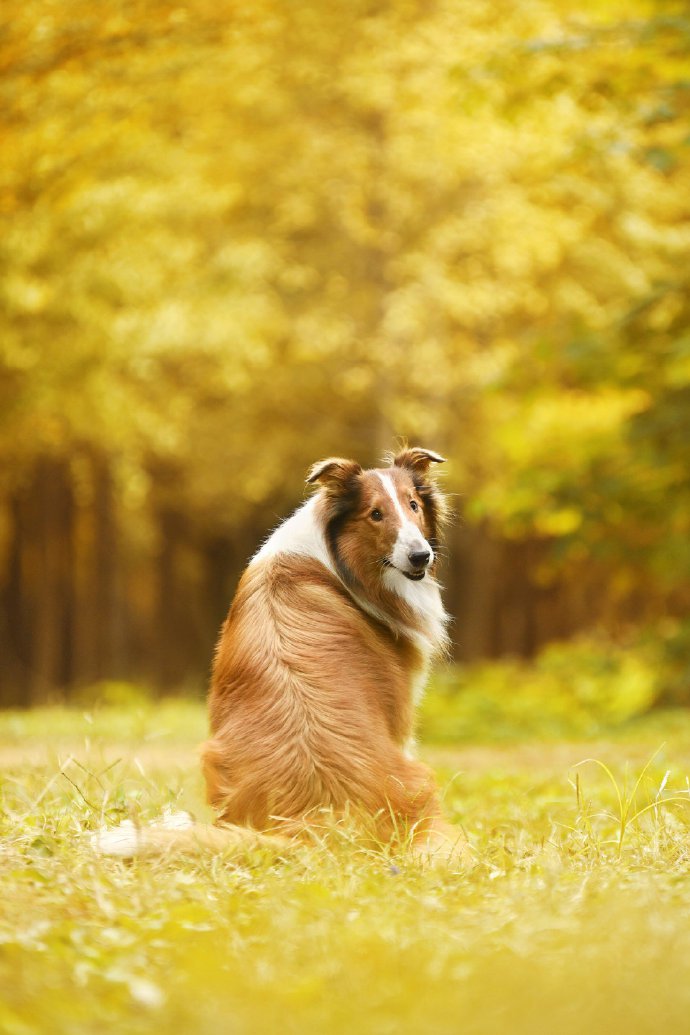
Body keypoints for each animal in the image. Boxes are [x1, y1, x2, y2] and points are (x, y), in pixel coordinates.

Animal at [94, 449, 467, 861]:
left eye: (413, 504)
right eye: (375, 513)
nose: (421, 556)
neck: (337, 557)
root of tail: (316, 825)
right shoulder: (399, 709)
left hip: (212, 756)